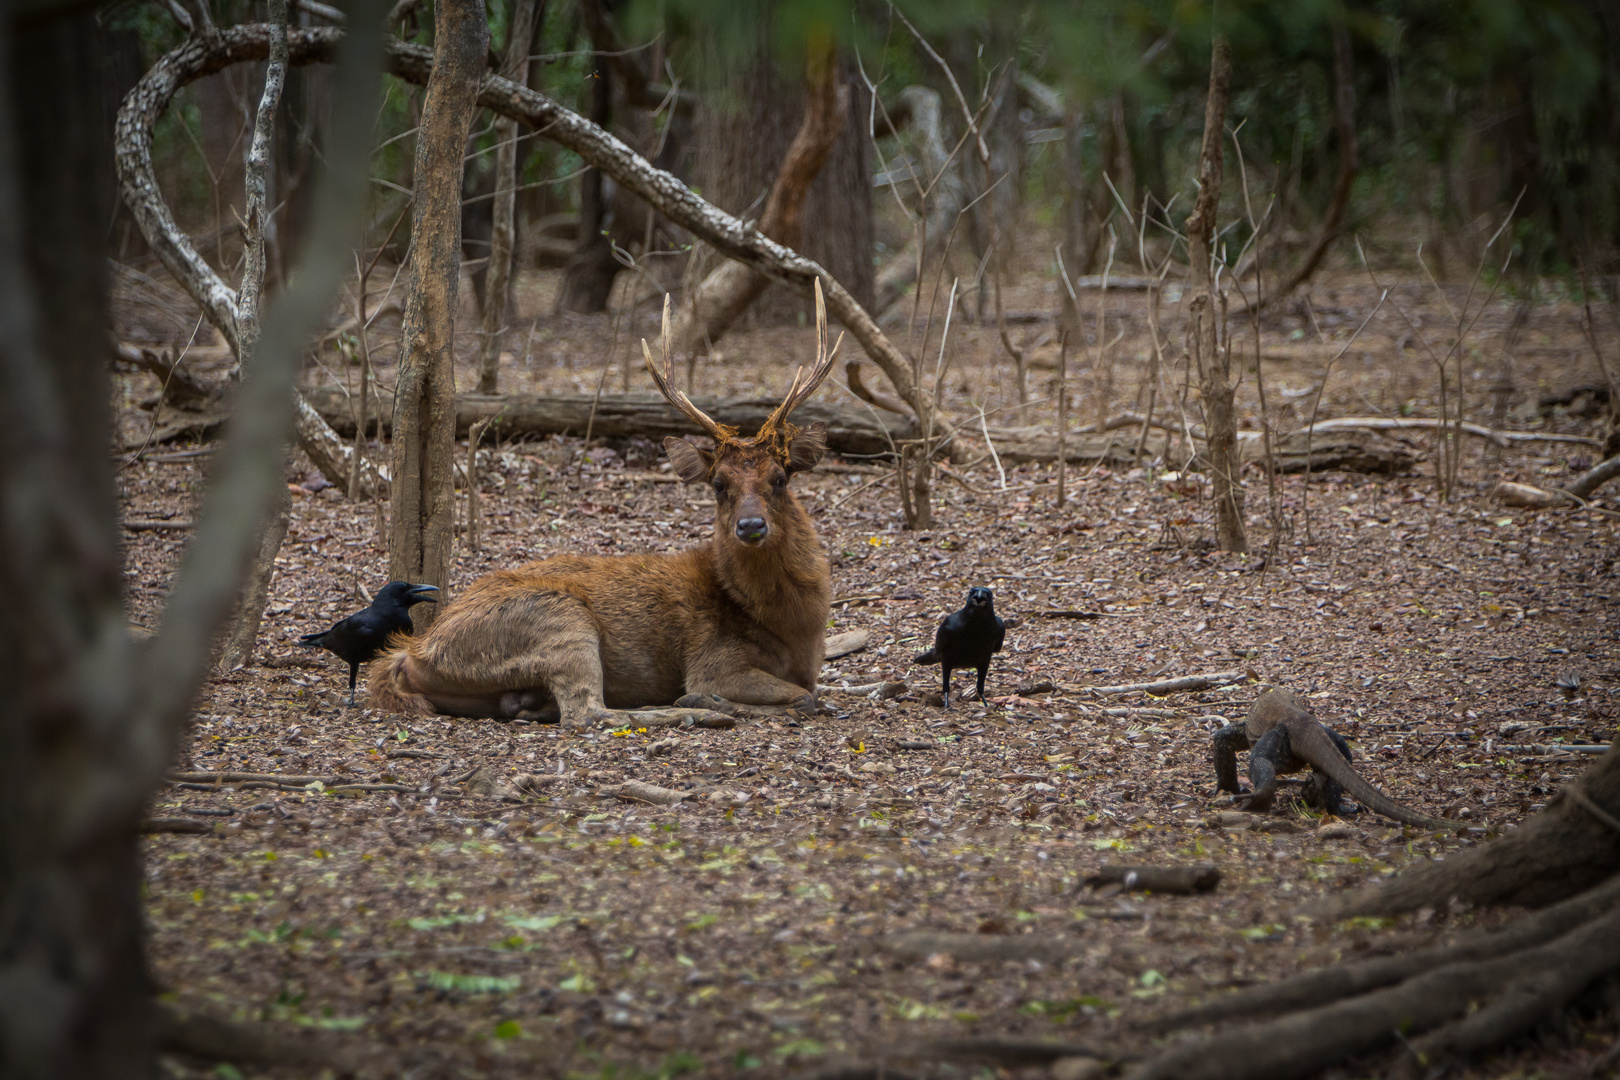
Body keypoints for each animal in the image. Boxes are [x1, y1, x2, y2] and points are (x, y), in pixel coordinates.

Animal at [370, 283, 848, 731]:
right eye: (718, 484)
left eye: (780, 478)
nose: (751, 526)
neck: (793, 630)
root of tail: (411, 653)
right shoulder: (714, 660)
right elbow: (804, 697)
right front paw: (710, 700)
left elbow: (812, 692)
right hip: (560, 620)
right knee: (588, 713)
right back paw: (697, 710)